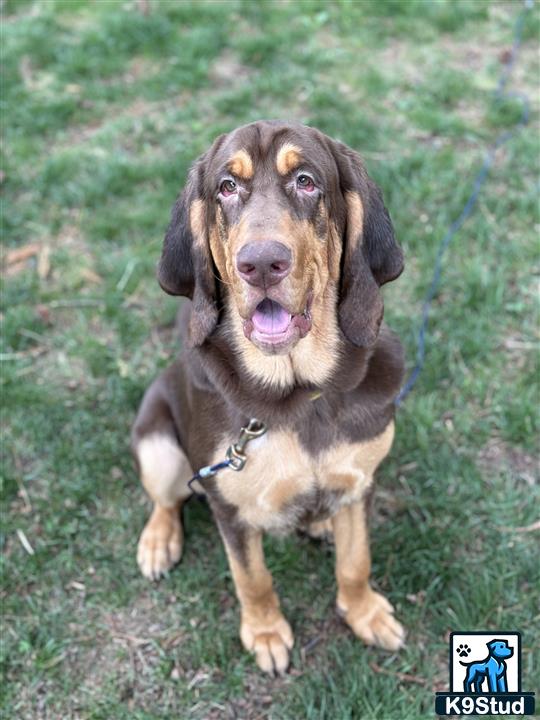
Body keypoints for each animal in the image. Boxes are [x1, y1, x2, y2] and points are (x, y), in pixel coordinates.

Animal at [132, 119, 404, 676]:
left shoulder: (361, 482)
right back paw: (158, 541)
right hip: (158, 444)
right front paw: (265, 632)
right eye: (226, 188)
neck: (300, 395)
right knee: (166, 499)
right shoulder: (230, 509)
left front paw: (365, 613)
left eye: (306, 181)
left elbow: (356, 560)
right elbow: (252, 578)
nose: (260, 265)